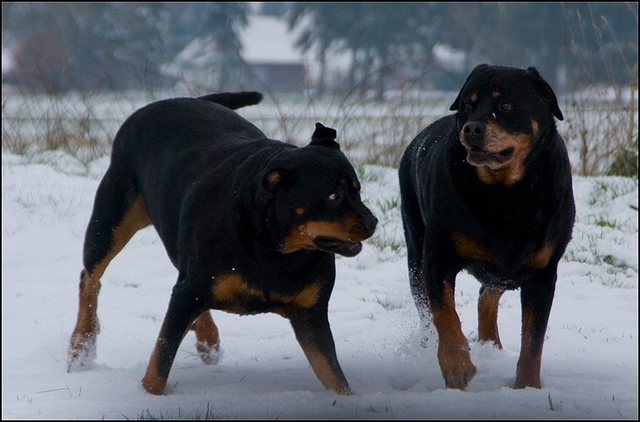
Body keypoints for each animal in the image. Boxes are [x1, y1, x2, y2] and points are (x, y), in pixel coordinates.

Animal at [69, 92, 380, 396]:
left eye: (357, 189)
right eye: (332, 196)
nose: (372, 221)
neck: (276, 251)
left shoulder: (310, 314)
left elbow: (333, 375)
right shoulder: (189, 291)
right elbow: (159, 362)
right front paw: (148, 396)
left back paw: (208, 339)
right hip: (111, 219)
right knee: (91, 277)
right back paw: (80, 347)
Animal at [400, 64, 576, 390]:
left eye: (505, 106)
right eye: (468, 105)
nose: (472, 128)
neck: (504, 192)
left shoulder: (542, 273)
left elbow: (533, 340)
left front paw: (527, 387)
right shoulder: (438, 258)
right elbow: (444, 314)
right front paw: (457, 366)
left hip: (509, 266)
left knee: (488, 293)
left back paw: (490, 345)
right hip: (415, 249)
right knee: (428, 310)